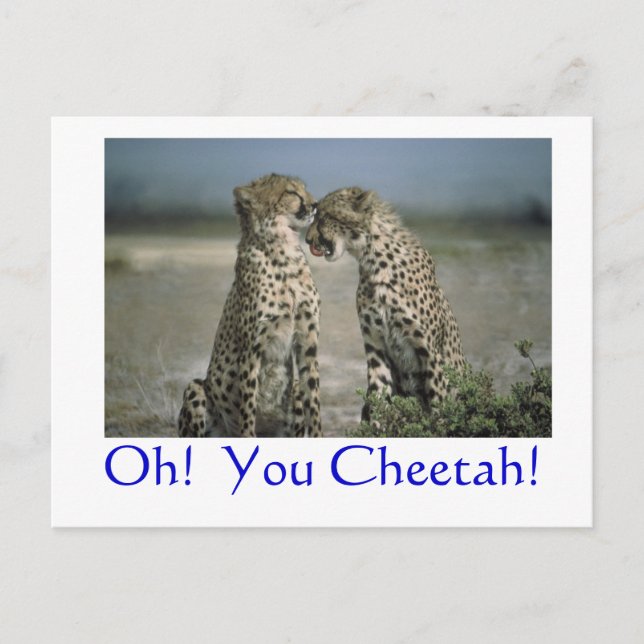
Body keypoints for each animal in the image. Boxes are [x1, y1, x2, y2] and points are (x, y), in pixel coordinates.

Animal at [178, 174, 322, 438]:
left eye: (303, 189)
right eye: (291, 192)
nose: (315, 204)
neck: (283, 252)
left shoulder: (307, 340)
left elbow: (314, 399)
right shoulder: (251, 348)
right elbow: (248, 405)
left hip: (293, 395)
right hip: (196, 389)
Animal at [305, 187, 466, 417]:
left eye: (325, 216)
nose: (307, 240)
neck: (375, 262)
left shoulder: (431, 354)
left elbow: (439, 405)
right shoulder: (376, 348)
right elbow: (377, 398)